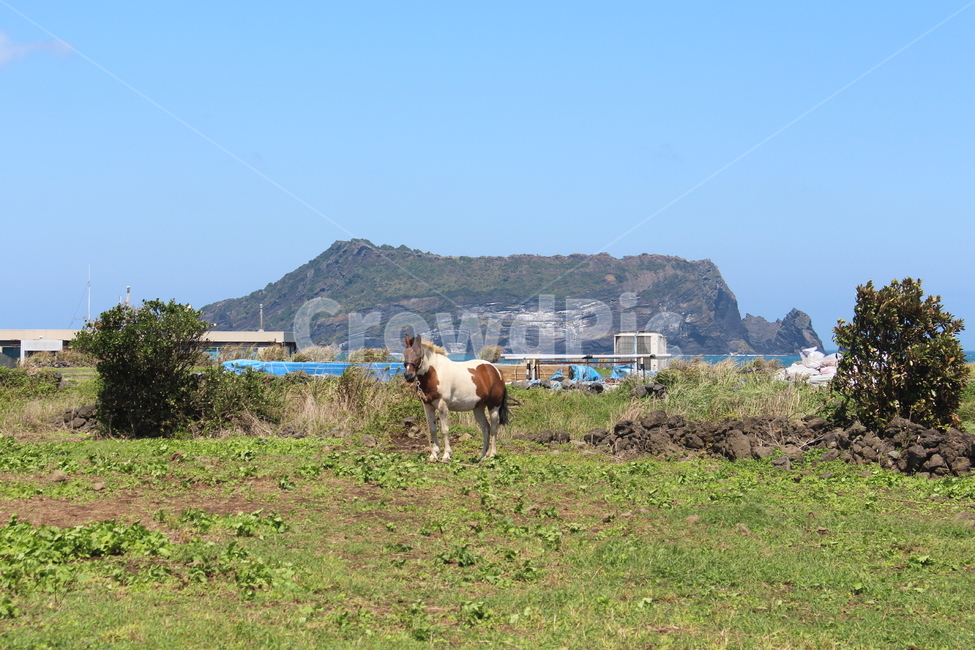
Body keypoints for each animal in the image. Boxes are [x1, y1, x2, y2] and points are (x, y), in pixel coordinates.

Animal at [402, 334, 511, 462]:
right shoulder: (428, 406)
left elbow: (444, 430)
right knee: (486, 428)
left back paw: (492, 454)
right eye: (404, 353)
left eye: (418, 354)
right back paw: (482, 456)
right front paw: (434, 455)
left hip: (494, 406)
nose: (408, 375)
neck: (436, 373)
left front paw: (446, 455)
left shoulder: (443, 406)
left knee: (494, 427)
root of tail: (496, 370)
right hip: (478, 408)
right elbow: (433, 429)